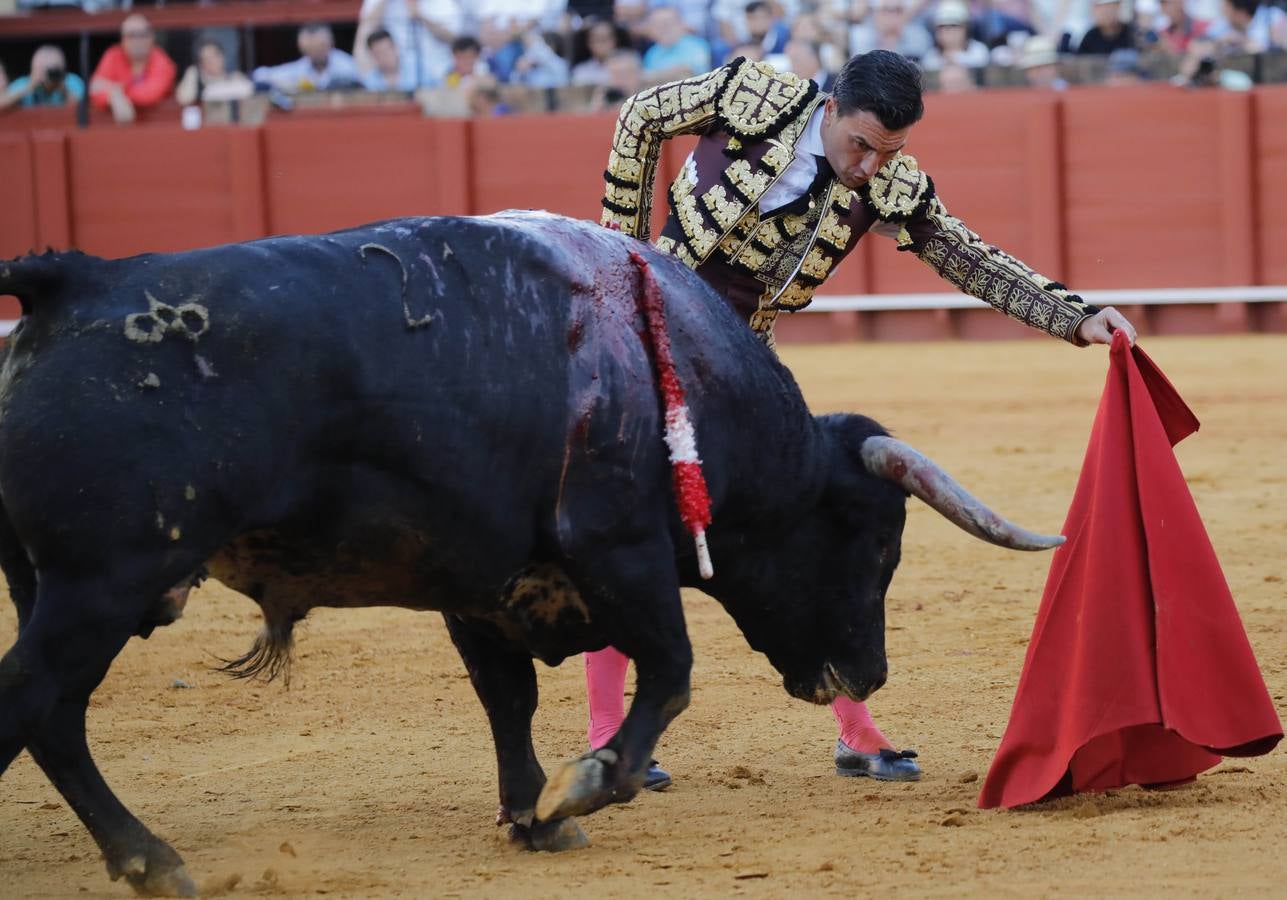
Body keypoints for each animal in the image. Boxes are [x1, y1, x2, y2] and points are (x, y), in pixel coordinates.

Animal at [0, 211, 1055, 896]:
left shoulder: (479, 585)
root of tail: (76, 281)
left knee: (57, 719)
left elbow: (508, 700)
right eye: (874, 541)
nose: (868, 674)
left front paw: (529, 816)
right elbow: (671, 673)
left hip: (63, 586)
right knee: (34, 703)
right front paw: (580, 790)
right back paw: (152, 856)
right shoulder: (620, 552)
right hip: (102, 582)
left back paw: (148, 858)